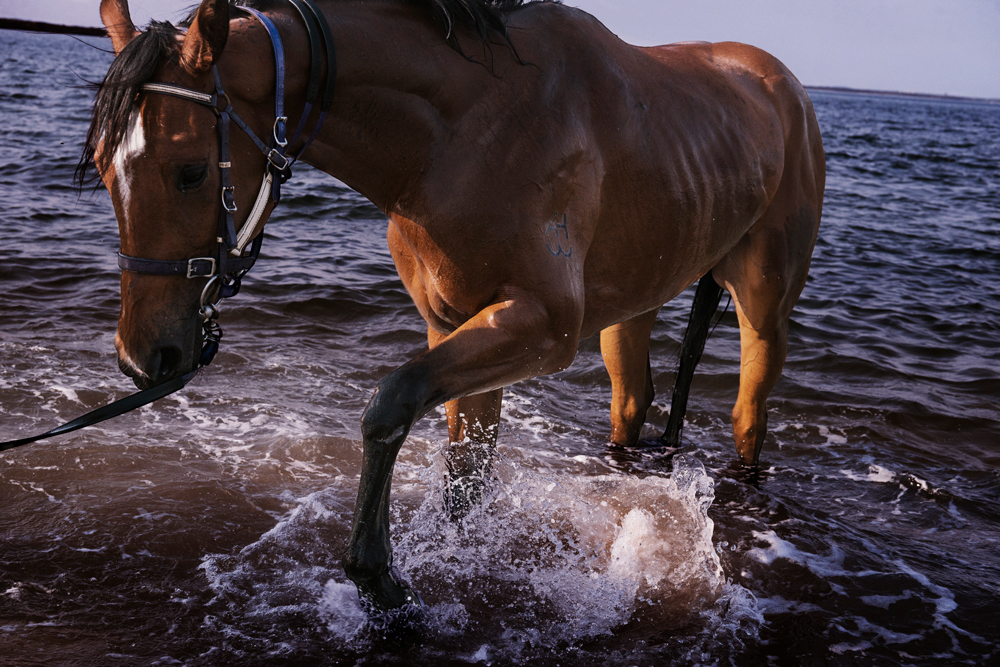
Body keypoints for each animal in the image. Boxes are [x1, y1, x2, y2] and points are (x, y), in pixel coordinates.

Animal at [86, 0, 820, 612]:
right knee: (633, 401)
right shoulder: (454, 323)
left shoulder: (541, 325)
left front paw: (377, 573)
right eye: (100, 163)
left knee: (748, 416)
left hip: (764, 305)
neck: (465, 133)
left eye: (190, 170)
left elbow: (391, 404)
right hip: (635, 303)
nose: (143, 356)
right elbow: (466, 474)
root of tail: (779, 81)